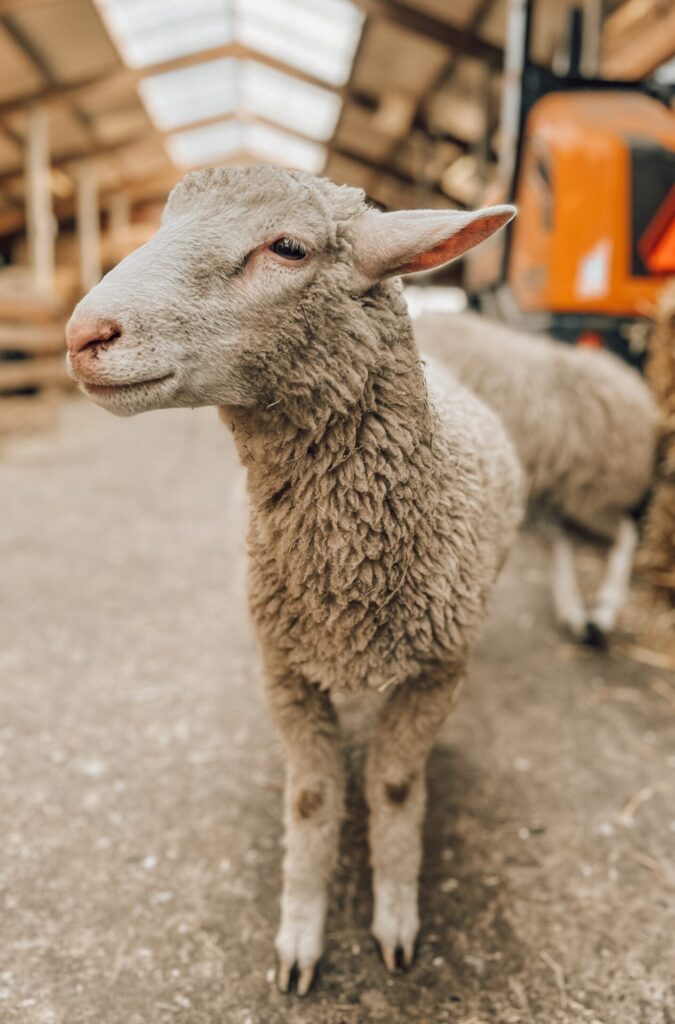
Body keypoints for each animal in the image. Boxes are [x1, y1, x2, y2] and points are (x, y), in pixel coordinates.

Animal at [63, 167, 524, 991]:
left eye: (287, 248)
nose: (85, 337)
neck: (350, 580)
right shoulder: (284, 667)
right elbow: (311, 799)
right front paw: (300, 940)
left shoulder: (438, 668)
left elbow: (394, 785)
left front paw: (395, 919)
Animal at [419, 311, 655, 643]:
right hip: (578, 494)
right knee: (593, 534)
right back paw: (586, 612)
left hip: (588, 496)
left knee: (623, 531)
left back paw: (599, 611)